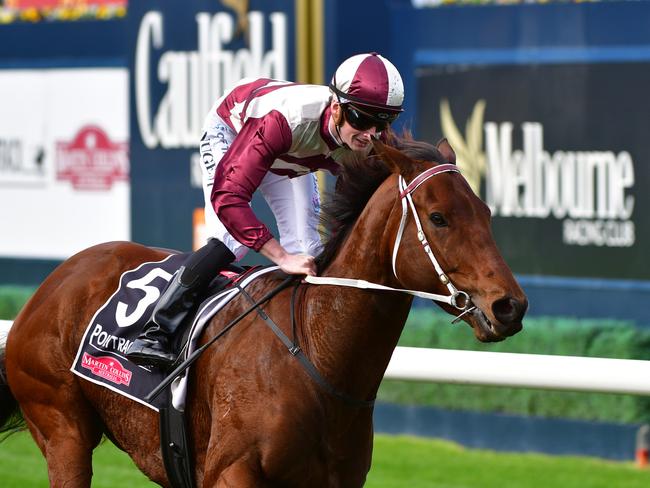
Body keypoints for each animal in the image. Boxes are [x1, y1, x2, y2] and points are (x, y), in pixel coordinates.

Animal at [0, 135, 528, 486]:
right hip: (62, 427)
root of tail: (55, 280)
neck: (315, 351)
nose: (509, 306)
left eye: (485, 212)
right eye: (438, 218)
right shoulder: (230, 473)